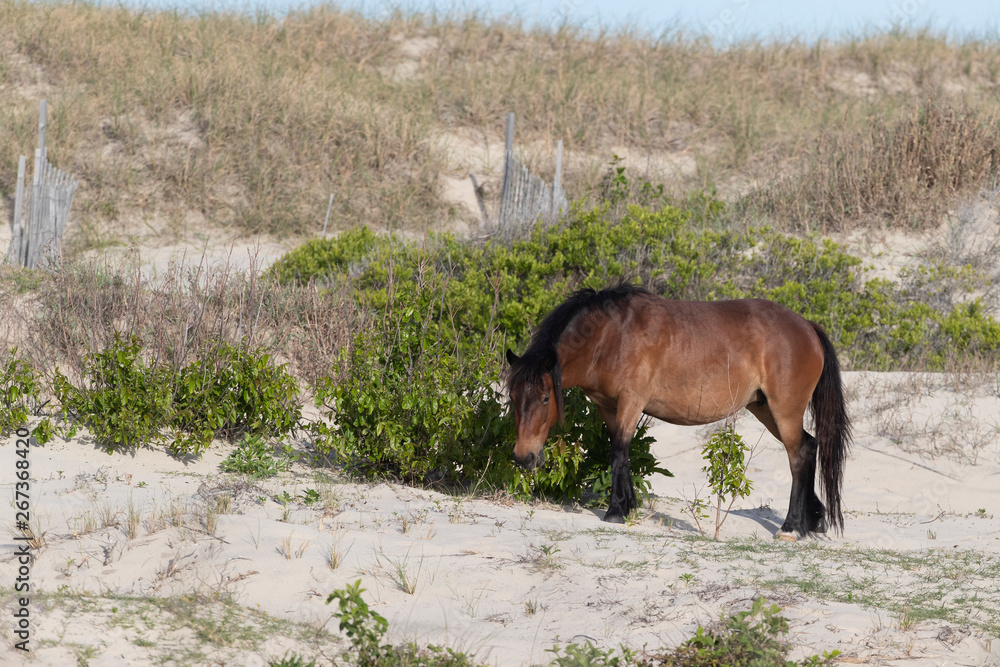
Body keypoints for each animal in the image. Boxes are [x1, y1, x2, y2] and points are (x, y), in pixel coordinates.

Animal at [505, 284, 852, 539]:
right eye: (512, 396)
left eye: (545, 398)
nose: (524, 456)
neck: (612, 335)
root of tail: (807, 327)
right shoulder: (607, 406)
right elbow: (620, 453)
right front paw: (627, 505)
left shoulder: (631, 402)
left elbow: (618, 452)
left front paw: (616, 510)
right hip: (764, 408)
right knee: (809, 447)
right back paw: (815, 519)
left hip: (784, 410)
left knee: (798, 456)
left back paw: (791, 527)